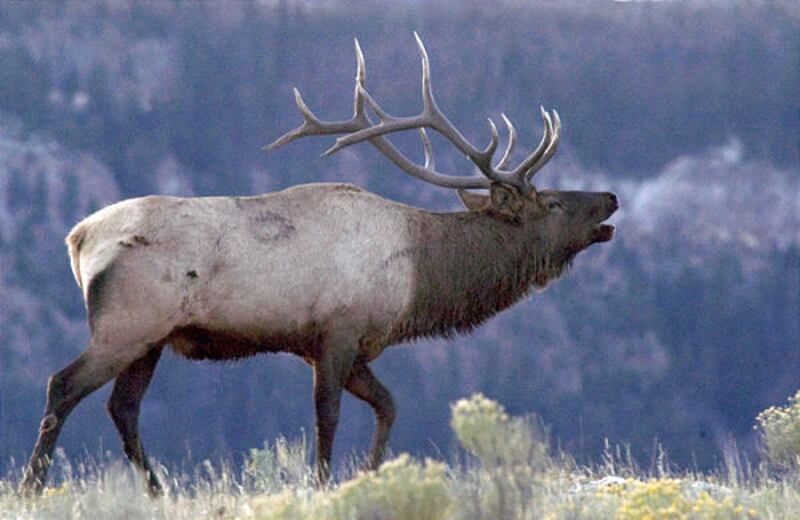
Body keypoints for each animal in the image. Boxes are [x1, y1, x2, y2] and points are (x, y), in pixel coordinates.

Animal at [21, 34, 617, 496]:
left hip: (152, 338)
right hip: (127, 322)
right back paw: (33, 485)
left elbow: (389, 406)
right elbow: (326, 419)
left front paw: (371, 475)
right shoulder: (337, 332)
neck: (418, 280)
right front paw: (326, 485)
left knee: (123, 408)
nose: (610, 198)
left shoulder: (352, 346)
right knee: (62, 384)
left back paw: (158, 491)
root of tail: (78, 238)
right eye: (552, 203)